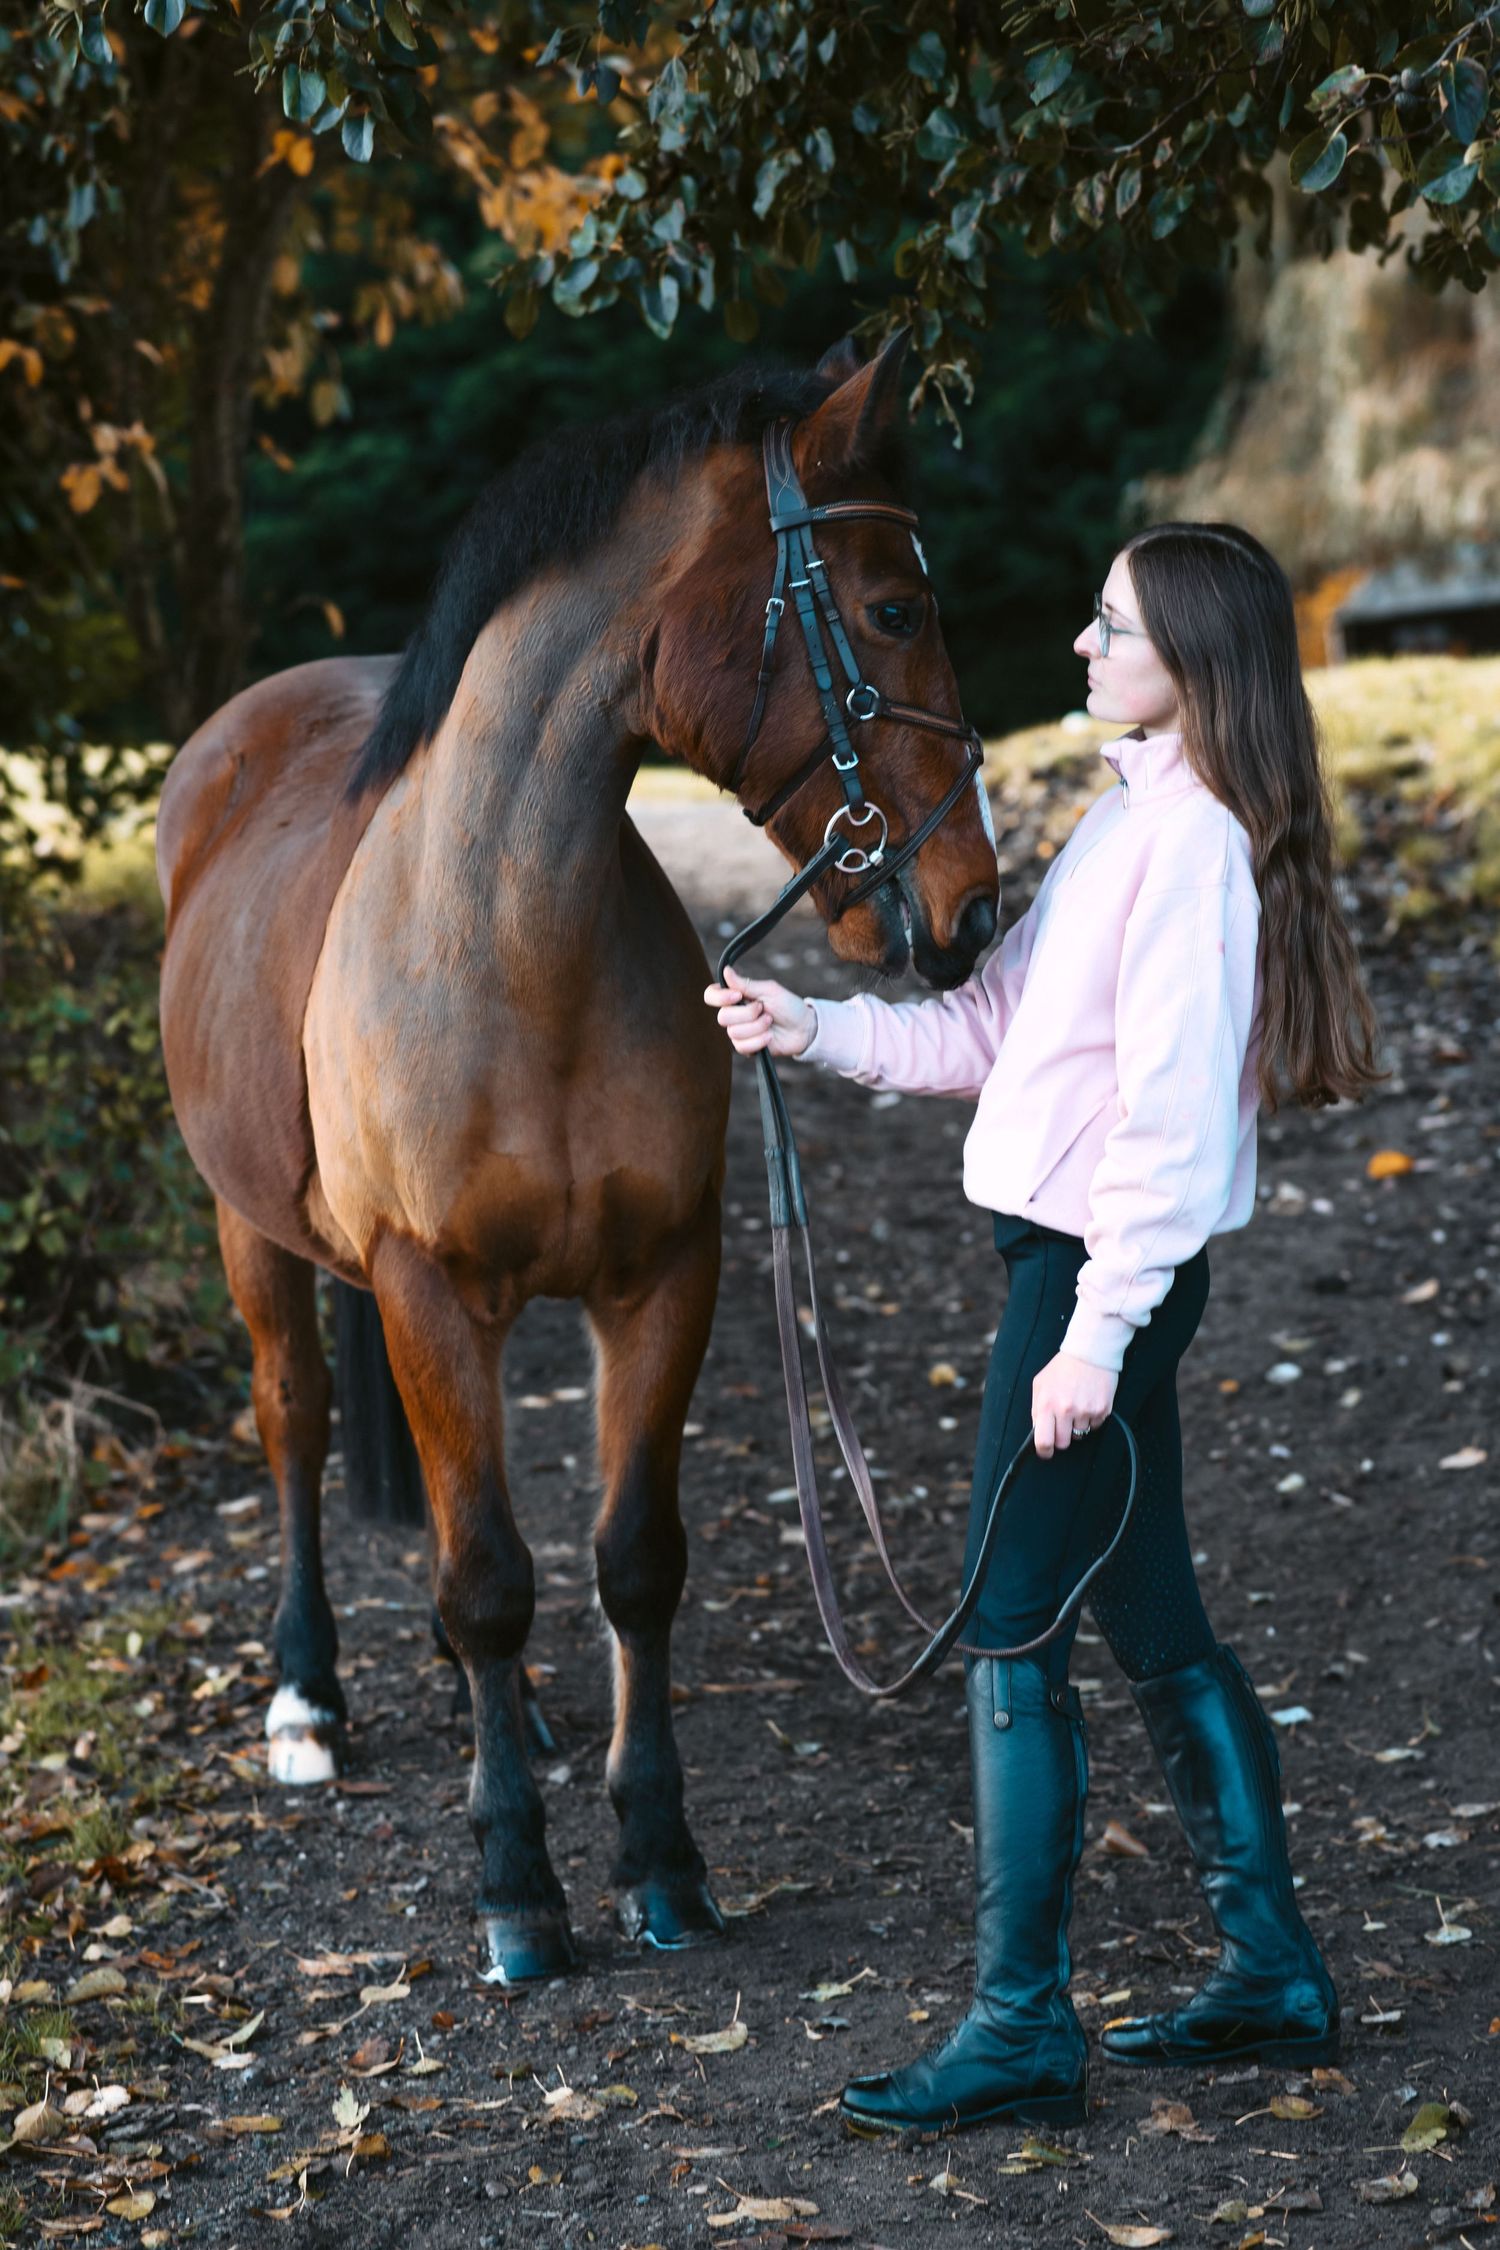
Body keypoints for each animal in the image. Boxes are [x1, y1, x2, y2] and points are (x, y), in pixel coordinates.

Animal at [155, 329, 999, 1984]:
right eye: (891, 607)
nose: (972, 909)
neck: (506, 937)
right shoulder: (423, 1286)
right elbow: (489, 1574)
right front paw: (517, 1884)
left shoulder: (664, 1276)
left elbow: (629, 1561)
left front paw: (659, 1855)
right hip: (253, 1237)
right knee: (296, 1425)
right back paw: (308, 1700)